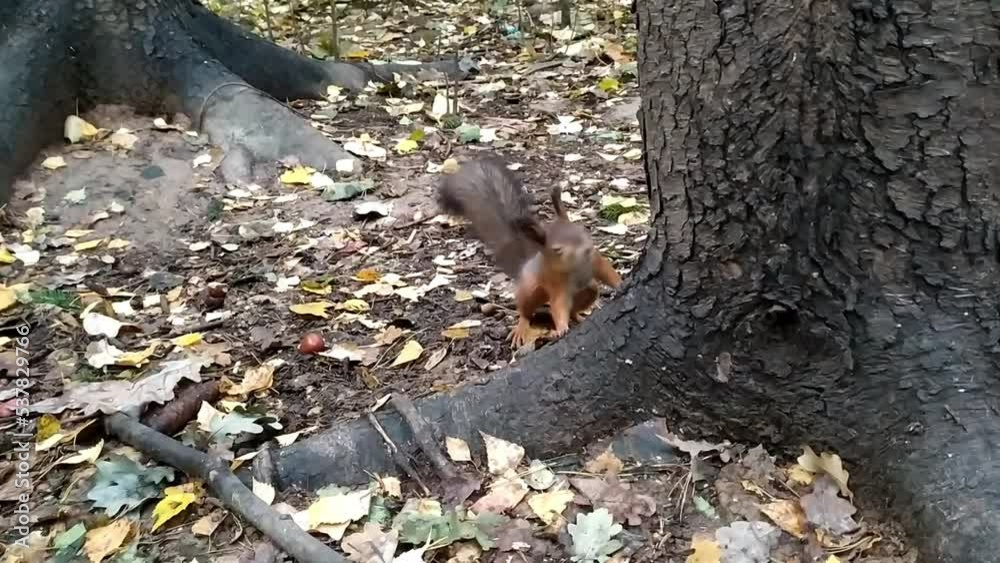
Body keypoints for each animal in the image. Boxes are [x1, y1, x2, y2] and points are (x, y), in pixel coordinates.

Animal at [437, 157, 623, 348]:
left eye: (583, 230)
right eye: (557, 249)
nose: (586, 249)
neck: (576, 266)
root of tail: (526, 263)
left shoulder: (595, 260)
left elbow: (607, 271)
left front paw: (620, 284)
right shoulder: (555, 282)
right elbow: (558, 306)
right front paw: (561, 328)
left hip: (589, 289)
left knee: (577, 305)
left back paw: (579, 316)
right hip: (531, 289)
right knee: (526, 311)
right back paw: (521, 327)